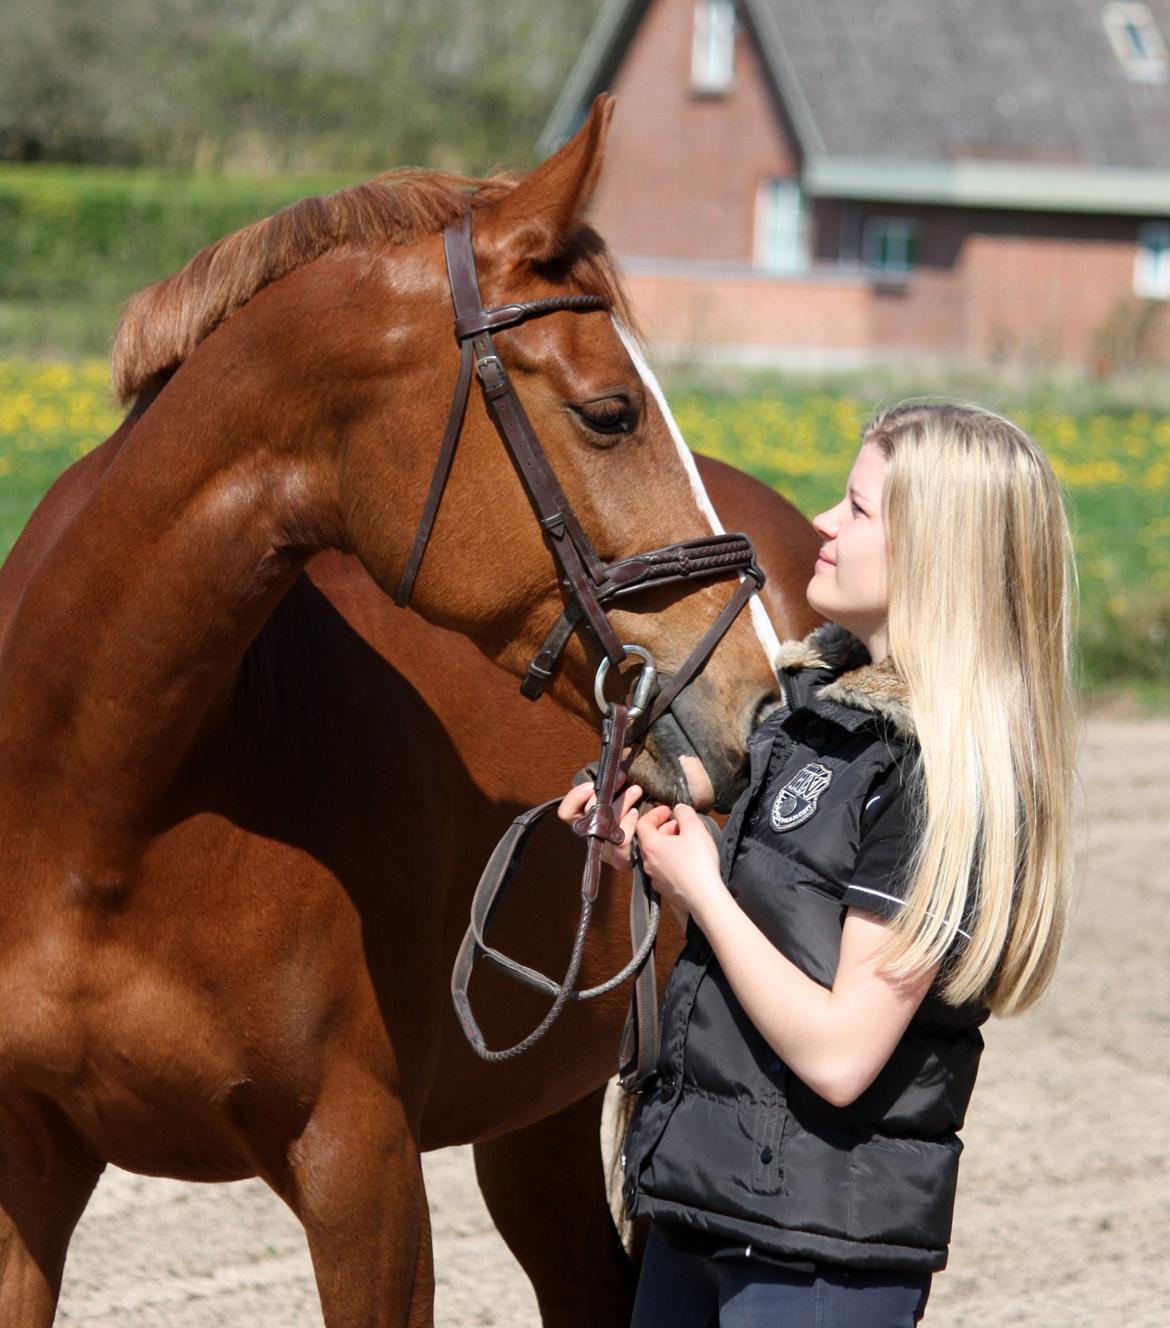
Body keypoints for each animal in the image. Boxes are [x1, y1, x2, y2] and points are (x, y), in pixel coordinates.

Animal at [0, 100, 818, 1317]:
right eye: (611, 413)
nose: (758, 701)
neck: (100, 811)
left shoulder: (363, 1172)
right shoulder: (27, 1172)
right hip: (536, 1121)